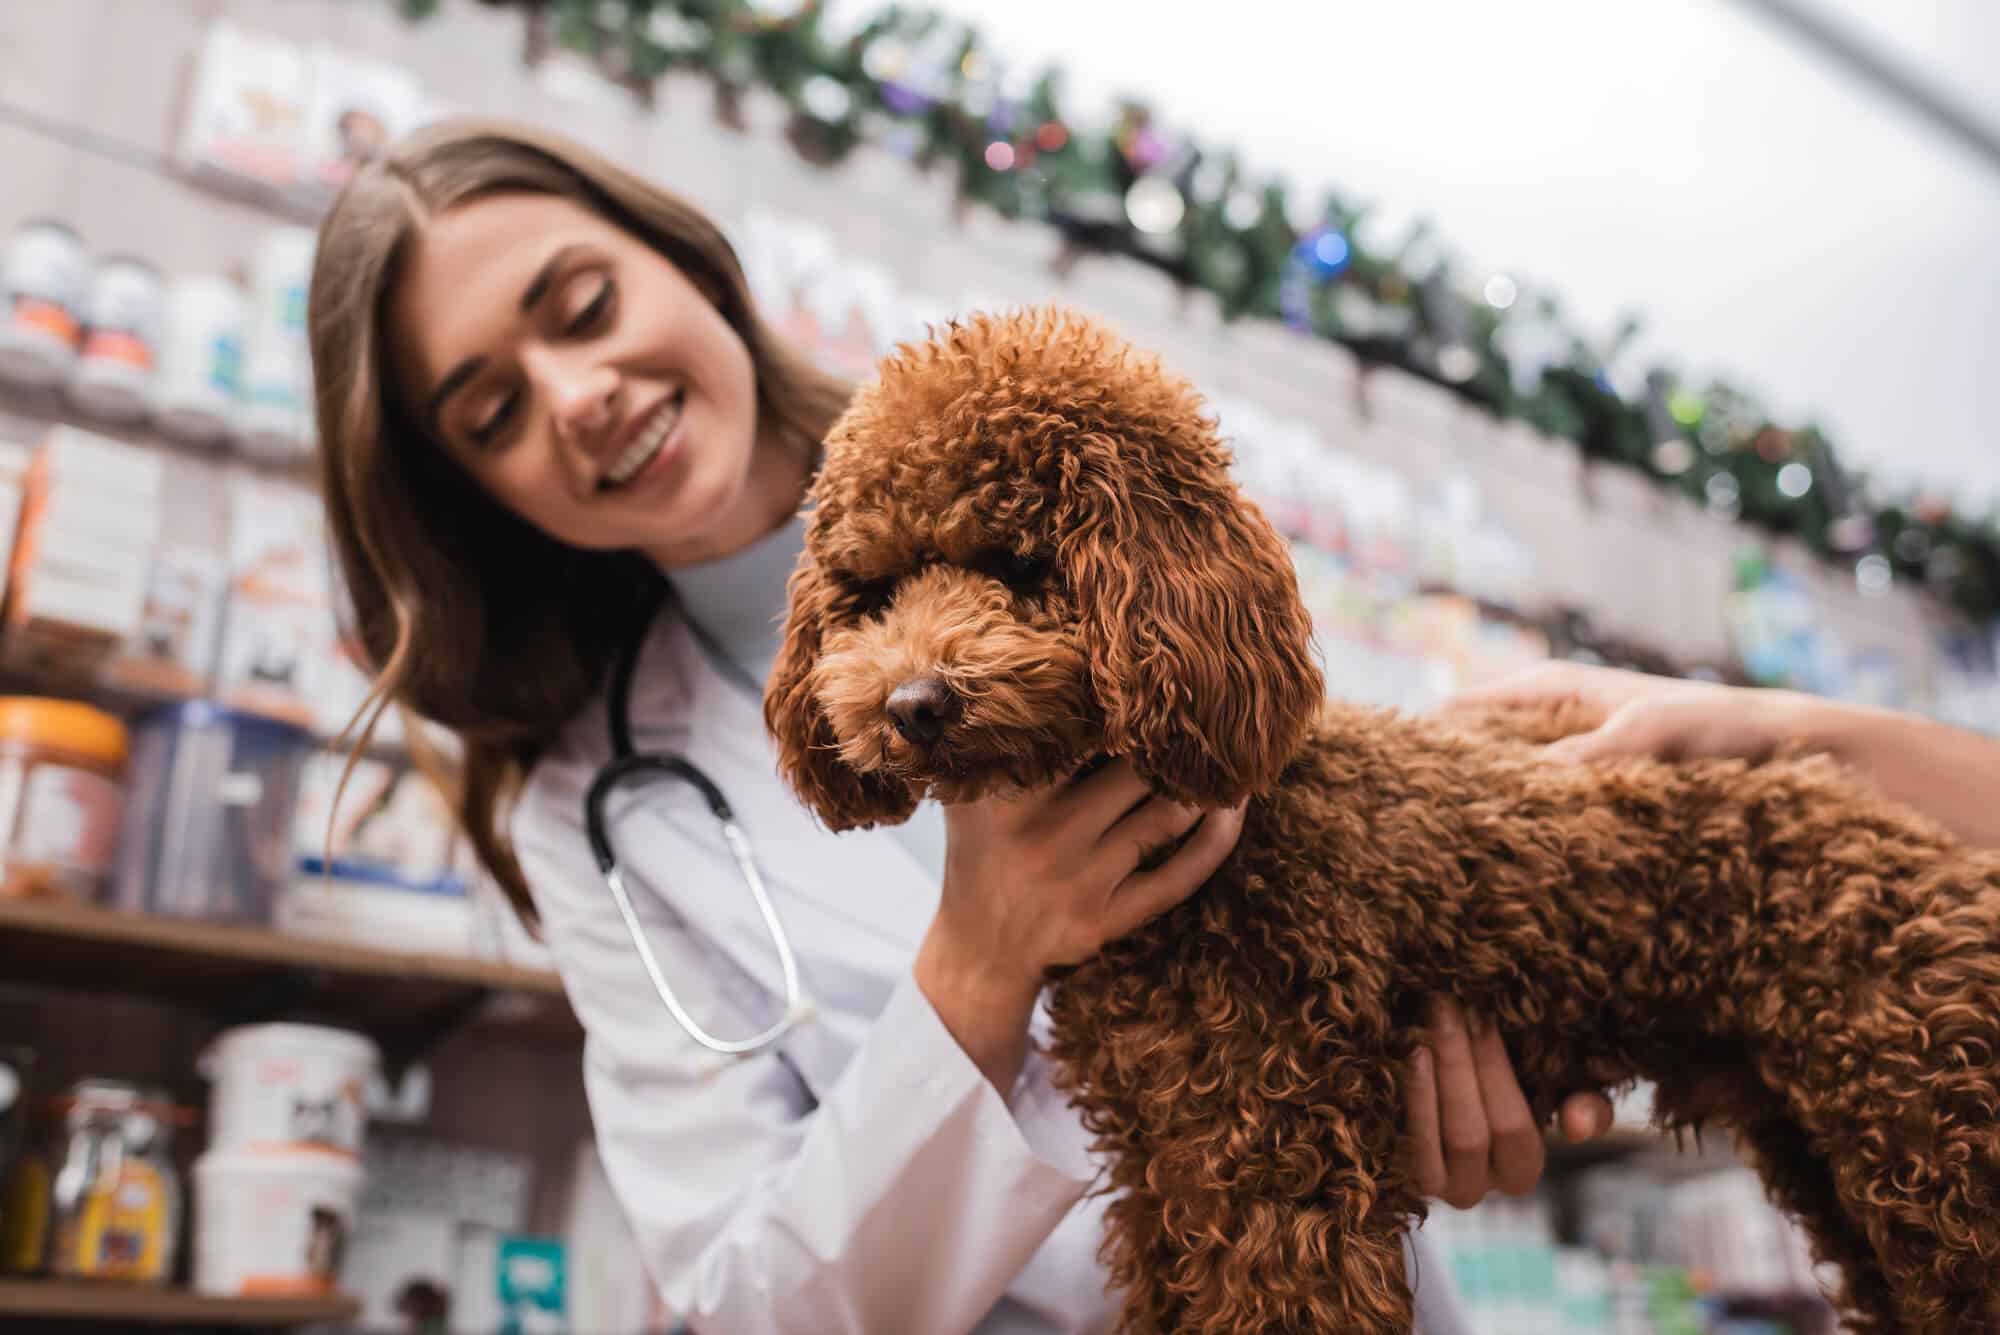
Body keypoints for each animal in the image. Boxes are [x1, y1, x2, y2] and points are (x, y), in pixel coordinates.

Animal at [760, 307, 2000, 1327]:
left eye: (1019, 563)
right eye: (872, 593)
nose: (912, 705)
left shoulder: (1269, 1159)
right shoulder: (1164, 1166)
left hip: (1925, 1123)